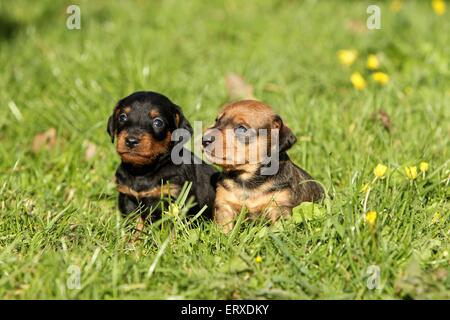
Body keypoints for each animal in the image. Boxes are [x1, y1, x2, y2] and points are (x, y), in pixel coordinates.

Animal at [107, 90, 216, 222]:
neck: (143, 172)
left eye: (158, 122)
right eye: (122, 117)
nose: (131, 141)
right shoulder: (127, 196)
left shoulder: (173, 196)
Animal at [201, 100, 324, 232]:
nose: (204, 140)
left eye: (241, 129)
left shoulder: (279, 208)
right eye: (216, 120)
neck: (247, 179)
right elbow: (223, 228)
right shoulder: (225, 206)